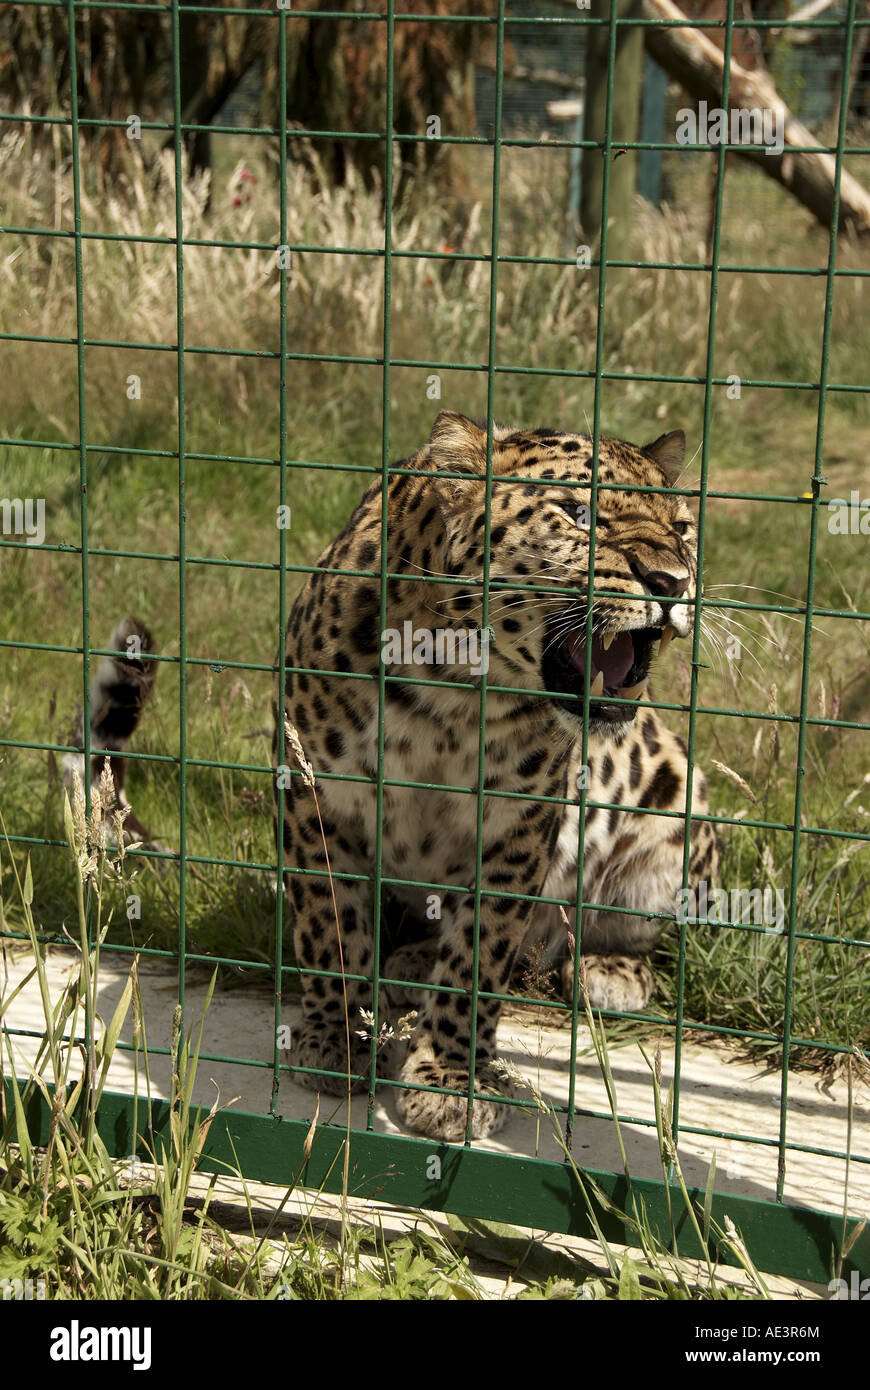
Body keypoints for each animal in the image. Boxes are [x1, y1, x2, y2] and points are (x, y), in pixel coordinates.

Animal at [276, 410, 718, 1143]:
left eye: (681, 529)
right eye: (579, 515)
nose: (672, 583)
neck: (451, 690)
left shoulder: (519, 824)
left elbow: (478, 958)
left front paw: (451, 1080)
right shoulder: (317, 793)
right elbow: (328, 927)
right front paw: (333, 1039)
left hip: (679, 811)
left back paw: (607, 972)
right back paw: (409, 964)